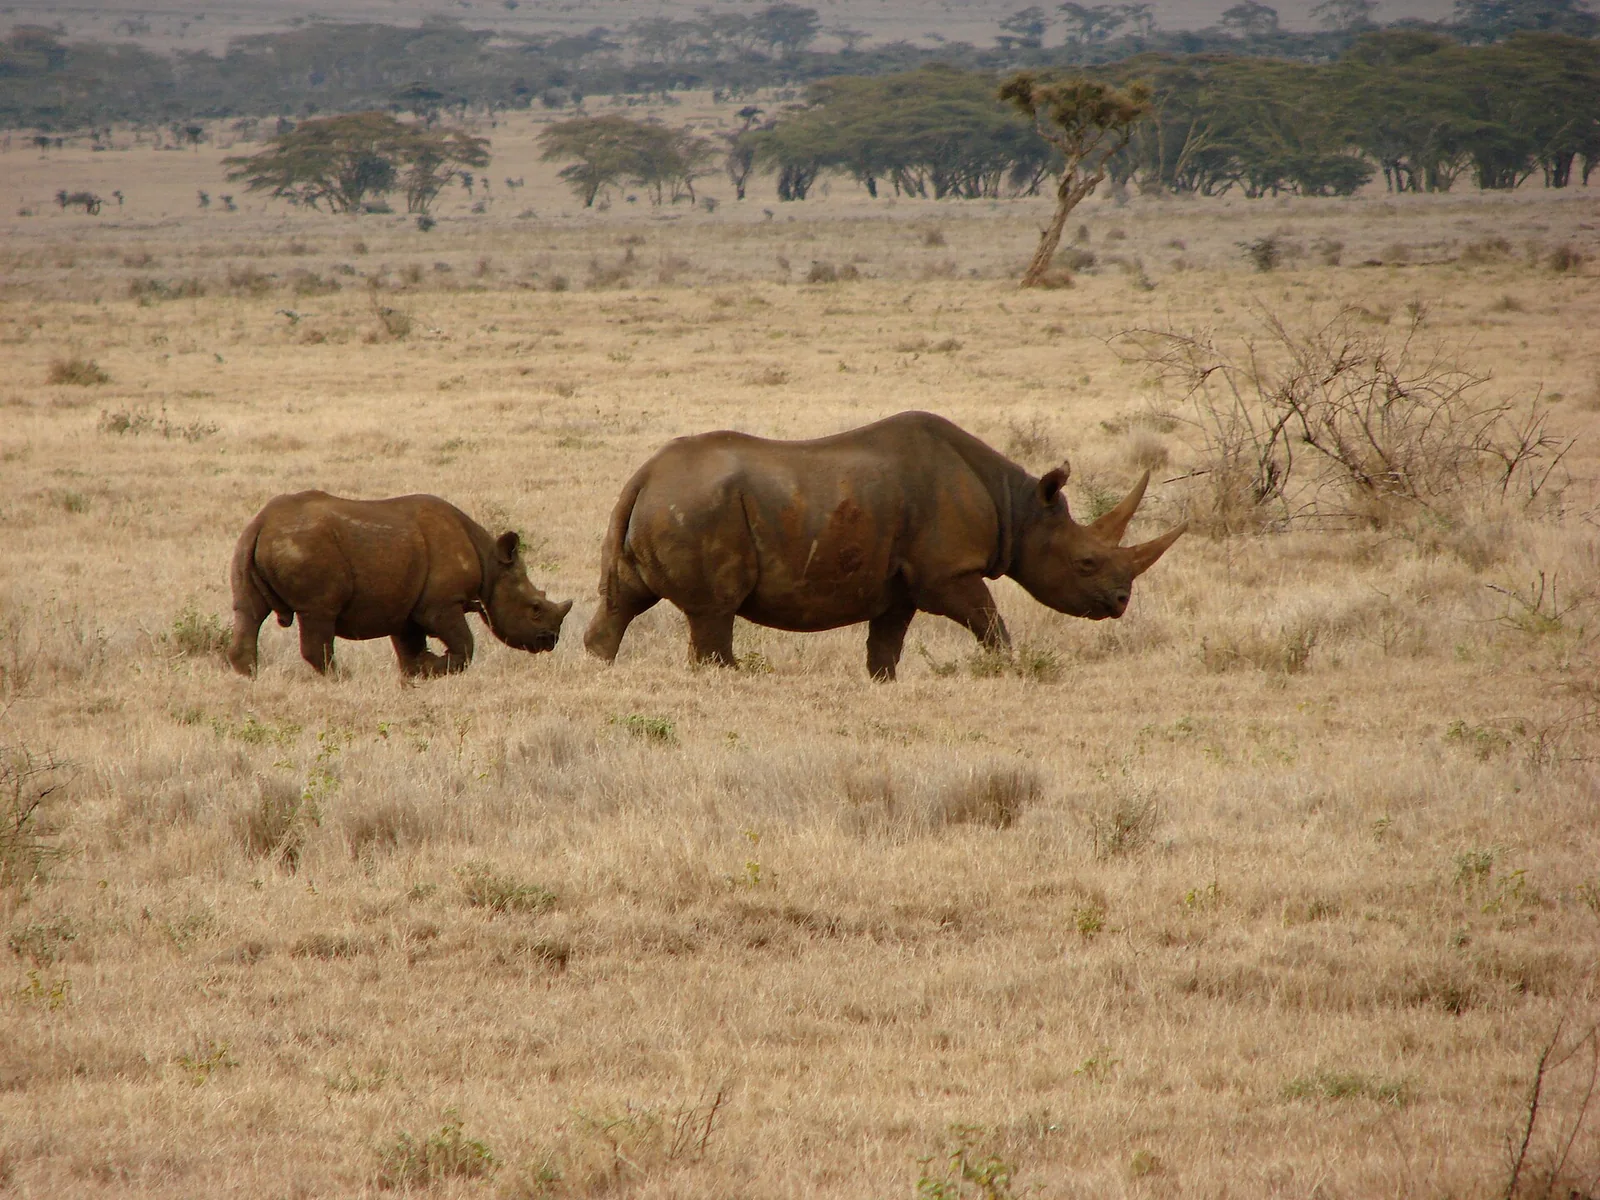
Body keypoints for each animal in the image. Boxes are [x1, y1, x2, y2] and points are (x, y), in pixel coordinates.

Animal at [228, 491, 572, 678]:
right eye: (535, 608)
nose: (550, 640)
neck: (491, 564)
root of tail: (262, 523)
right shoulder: (441, 604)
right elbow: (465, 645)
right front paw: (433, 664)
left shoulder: (406, 607)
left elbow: (409, 650)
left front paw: (419, 672)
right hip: (305, 547)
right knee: (319, 613)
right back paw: (345, 679)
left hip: (248, 544)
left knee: (248, 611)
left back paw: (249, 677)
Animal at [583, 411, 1185, 680]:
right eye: (1086, 562)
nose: (1120, 603)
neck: (1018, 507)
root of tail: (646, 474)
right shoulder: (947, 572)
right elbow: (990, 622)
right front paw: (1007, 670)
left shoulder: (898, 585)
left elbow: (886, 645)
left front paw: (883, 681)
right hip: (699, 505)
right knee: (714, 612)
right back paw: (733, 676)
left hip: (667, 504)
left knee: (623, 600)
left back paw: (601, 666)